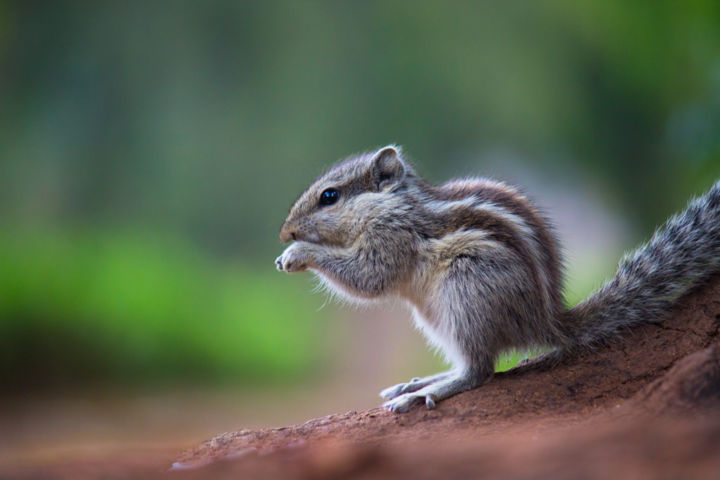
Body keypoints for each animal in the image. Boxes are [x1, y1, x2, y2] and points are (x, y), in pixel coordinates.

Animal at [274, 146, 720, 412]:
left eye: (329, 196)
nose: (284, 232)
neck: (392, 204)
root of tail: (547, 320)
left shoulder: (390, 238)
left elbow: (368, 278)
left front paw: (298, 254)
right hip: (437, 317)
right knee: (469, 363)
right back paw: (420, 382)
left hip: (466, 288)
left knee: (479, 371)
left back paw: (427, 393)